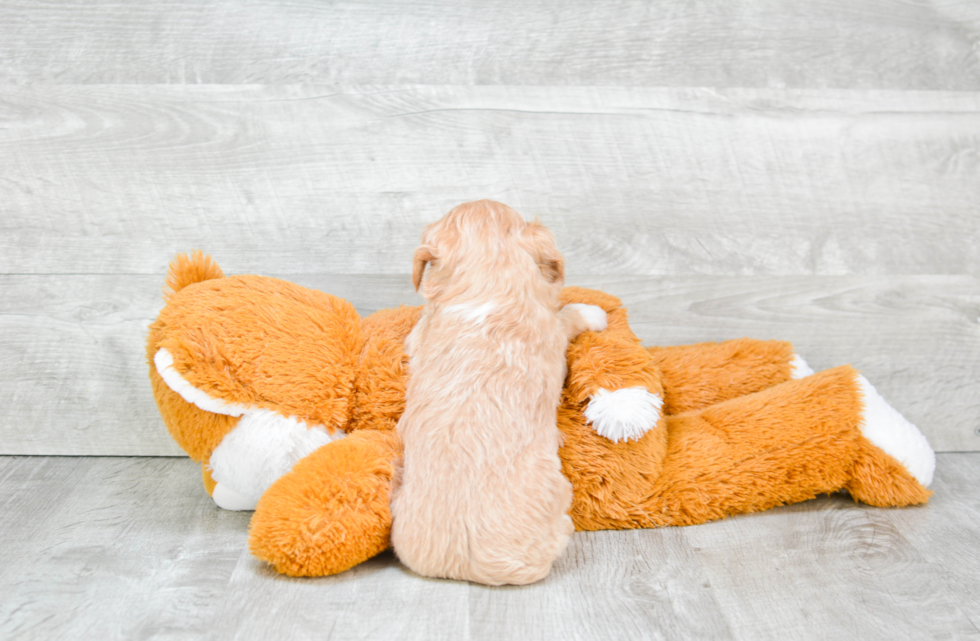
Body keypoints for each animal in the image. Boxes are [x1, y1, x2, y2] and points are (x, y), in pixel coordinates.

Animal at [388, 200, 604, 584]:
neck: (488, 280)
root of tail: (462, 568)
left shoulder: (420, 334)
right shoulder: (551, 329)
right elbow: (568, 317)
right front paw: (592, 312)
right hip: (557, 495)